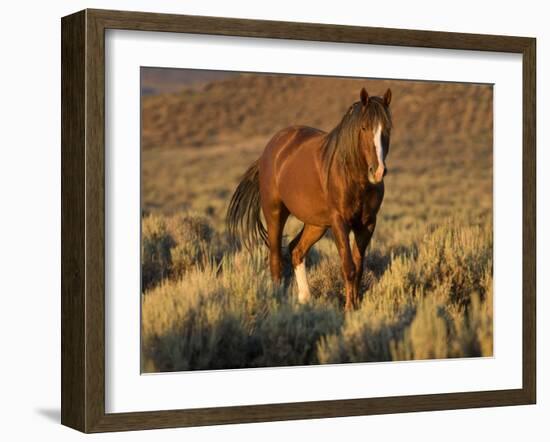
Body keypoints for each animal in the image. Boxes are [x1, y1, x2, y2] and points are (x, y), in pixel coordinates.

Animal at [227, 88, 392, 310]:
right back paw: (278, 300)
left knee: (296, 250)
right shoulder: (339, 223)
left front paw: (356, 306)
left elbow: (358, 267)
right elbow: (348, 266)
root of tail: (271, 148)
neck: (352, 176)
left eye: (387, 128)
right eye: (364, 127)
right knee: (276, 259)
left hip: (316, 224)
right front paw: (349, 308)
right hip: (275, 213)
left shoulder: (367, 224)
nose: (378, 171)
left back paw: (305, 299)